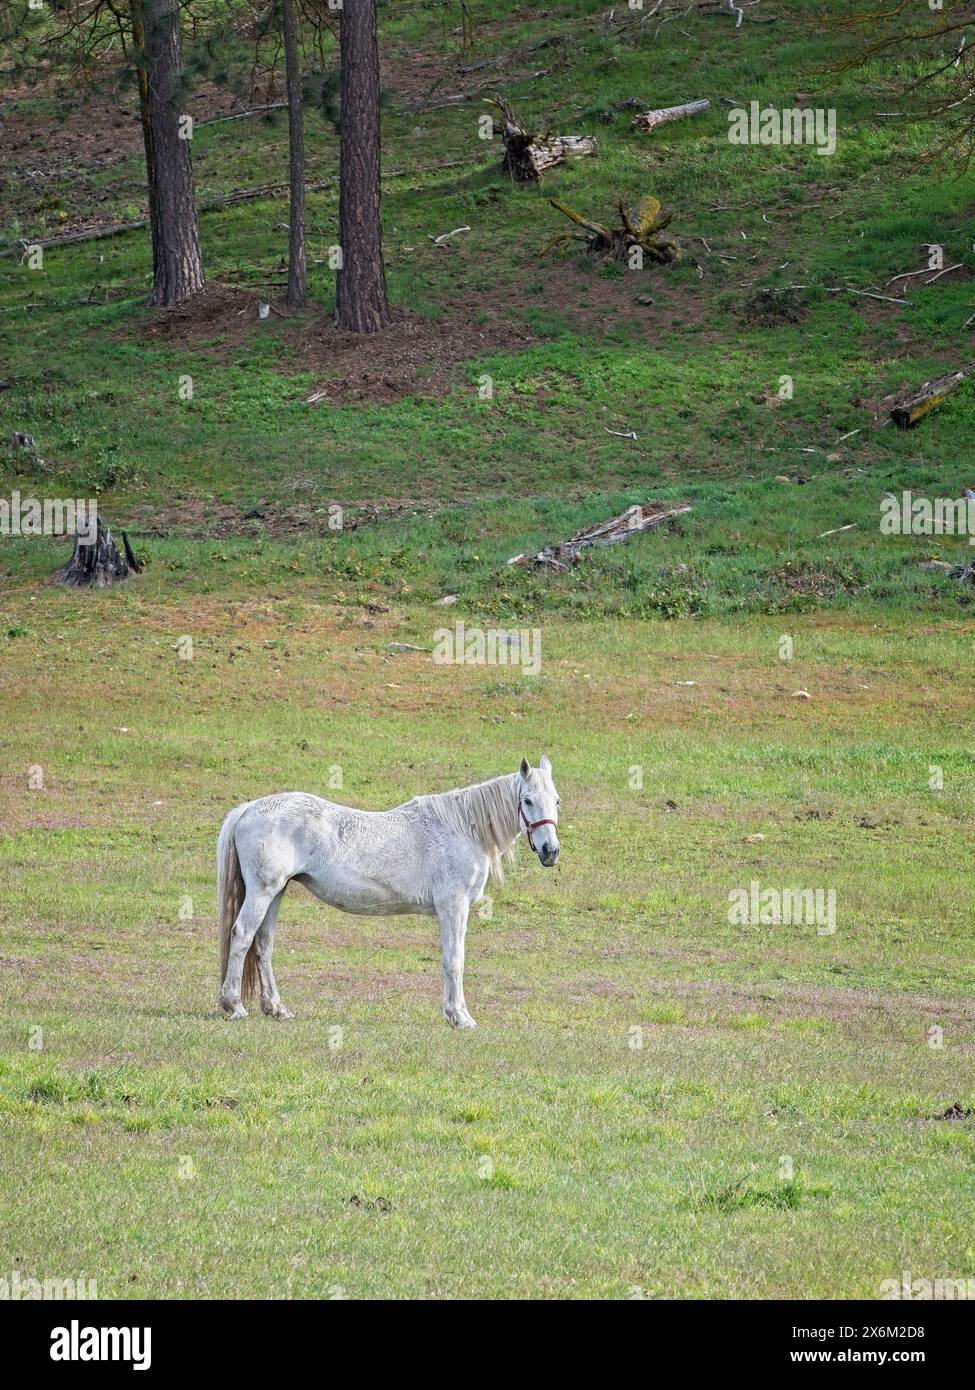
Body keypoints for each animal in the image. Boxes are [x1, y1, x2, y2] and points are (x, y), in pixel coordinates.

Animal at [216, 756, 560, 1029]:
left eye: (556, 800)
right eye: (527, 800)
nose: (551, 851)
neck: (462, 830)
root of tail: (248, 809)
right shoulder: (453, 908)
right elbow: (454, 960)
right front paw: (460, 1017)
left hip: (276, 893)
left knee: (263, 945)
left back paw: (277, 1009)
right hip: (262, 893)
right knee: (242, 935)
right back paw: (234, 1005)